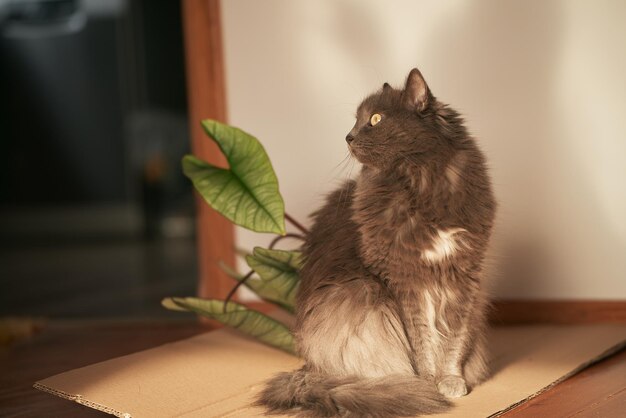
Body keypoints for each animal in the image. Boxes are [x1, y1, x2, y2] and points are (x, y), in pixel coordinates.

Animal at [256, 67, 494, 416]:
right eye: (357, 120)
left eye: (376, 119)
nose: (348, 137)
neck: (420, 182)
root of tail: (310, 368)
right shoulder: (405, 281)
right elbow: (423, 342)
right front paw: (428, 383)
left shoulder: (464, 276)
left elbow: (453, 338)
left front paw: (451, 381)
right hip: (362, 294)